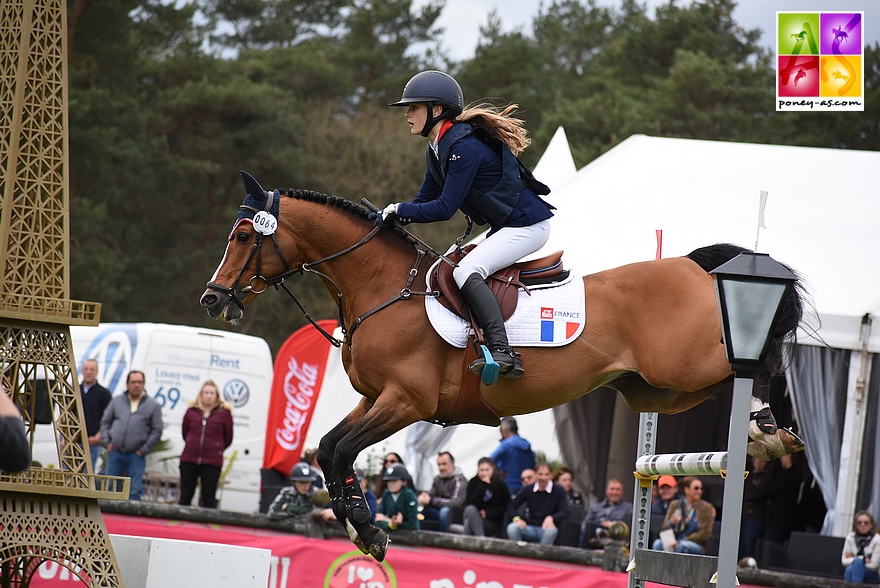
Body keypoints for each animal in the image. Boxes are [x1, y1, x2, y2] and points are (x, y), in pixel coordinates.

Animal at [199, 173, 804, 560]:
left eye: (245, 236)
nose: (211, 298)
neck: (381, 288)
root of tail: (692, 267)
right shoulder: (375, 398)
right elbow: (329, 449)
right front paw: (362, 527)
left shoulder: (406, 401)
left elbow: (343, 449)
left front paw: (367, 526)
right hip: (653, 389)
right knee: (715, 385)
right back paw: (762, 430)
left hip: (684, 364)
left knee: (755, 361)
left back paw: (770, 430)